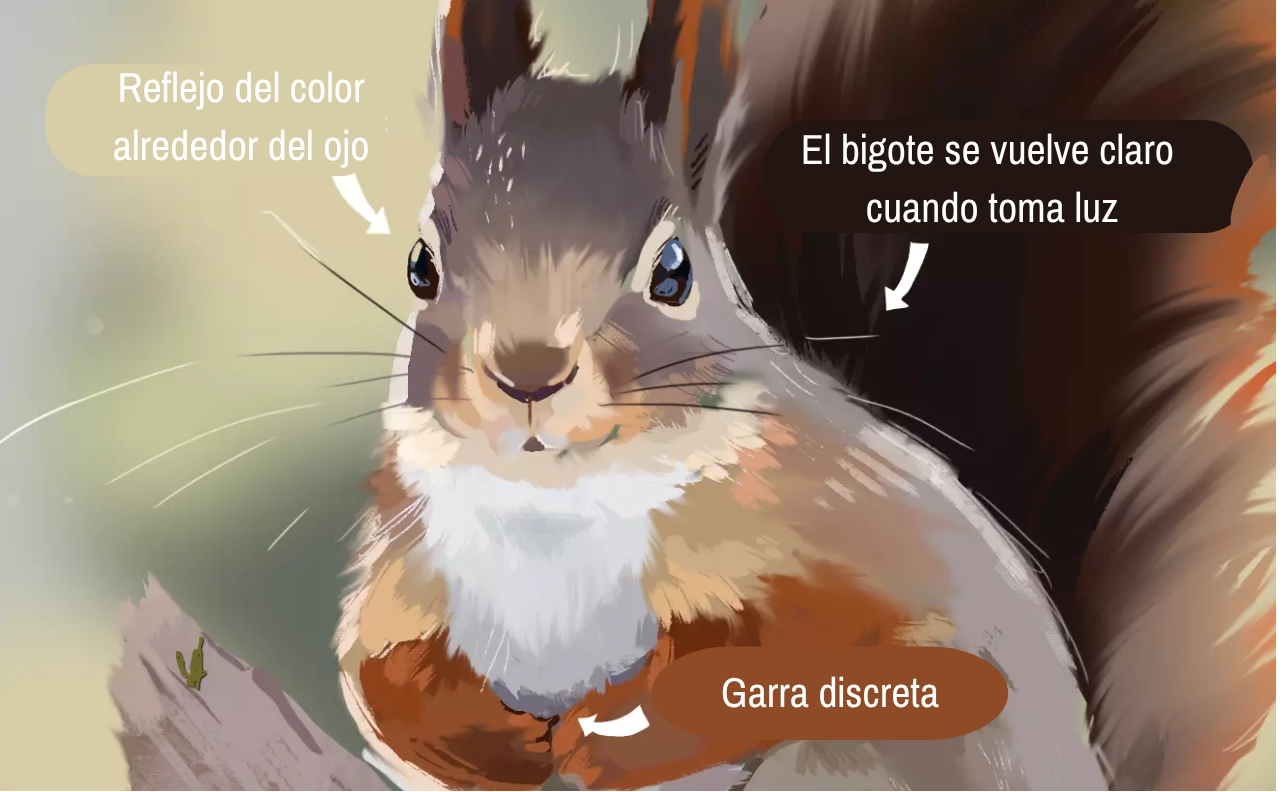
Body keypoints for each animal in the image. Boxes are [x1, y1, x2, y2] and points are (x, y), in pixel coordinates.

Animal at [335, 0, 1275, 789]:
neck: (556, 502)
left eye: (673, 272)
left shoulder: (849, 524)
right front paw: (472, 734)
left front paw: (623, 731)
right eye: (420, 266)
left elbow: (833, 651)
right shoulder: (406, 546)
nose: (527, 375)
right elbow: (372, 670)